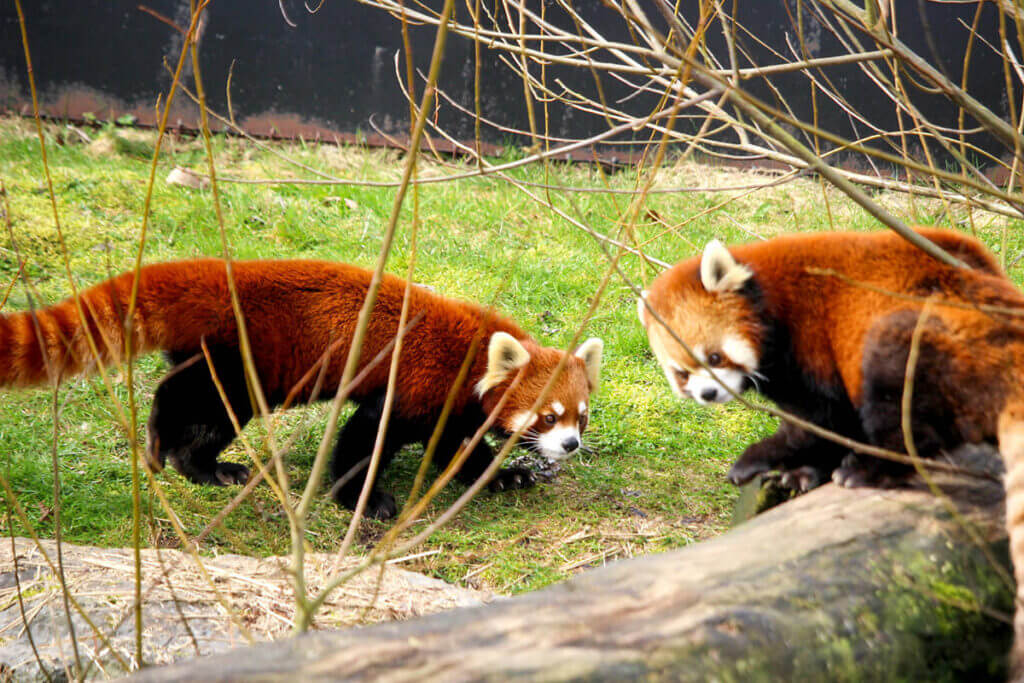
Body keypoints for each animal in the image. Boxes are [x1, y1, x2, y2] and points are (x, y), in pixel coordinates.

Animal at [0, 259, 598, 520]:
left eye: (581, 416)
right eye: (548, 416)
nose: (570, 446)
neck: (471, 356)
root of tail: (221, 273)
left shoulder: (450, 408)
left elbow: (456, 446)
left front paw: (500, 476)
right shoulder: (412, 384)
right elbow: (363, 440)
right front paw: (364, 500)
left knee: (201, 412)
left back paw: (205, 467)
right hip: (246, 362)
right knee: (189, 397)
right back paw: (164, 442)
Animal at [638, 228, 1024, 671]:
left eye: (714, 357)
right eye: (682, 373)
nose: (706, 393)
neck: (772, 297)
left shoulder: (812, 340)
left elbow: (820, 420)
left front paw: (762, 458)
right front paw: (803, 473)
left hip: (923, 335)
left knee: (902, 409)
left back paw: (867, 470)